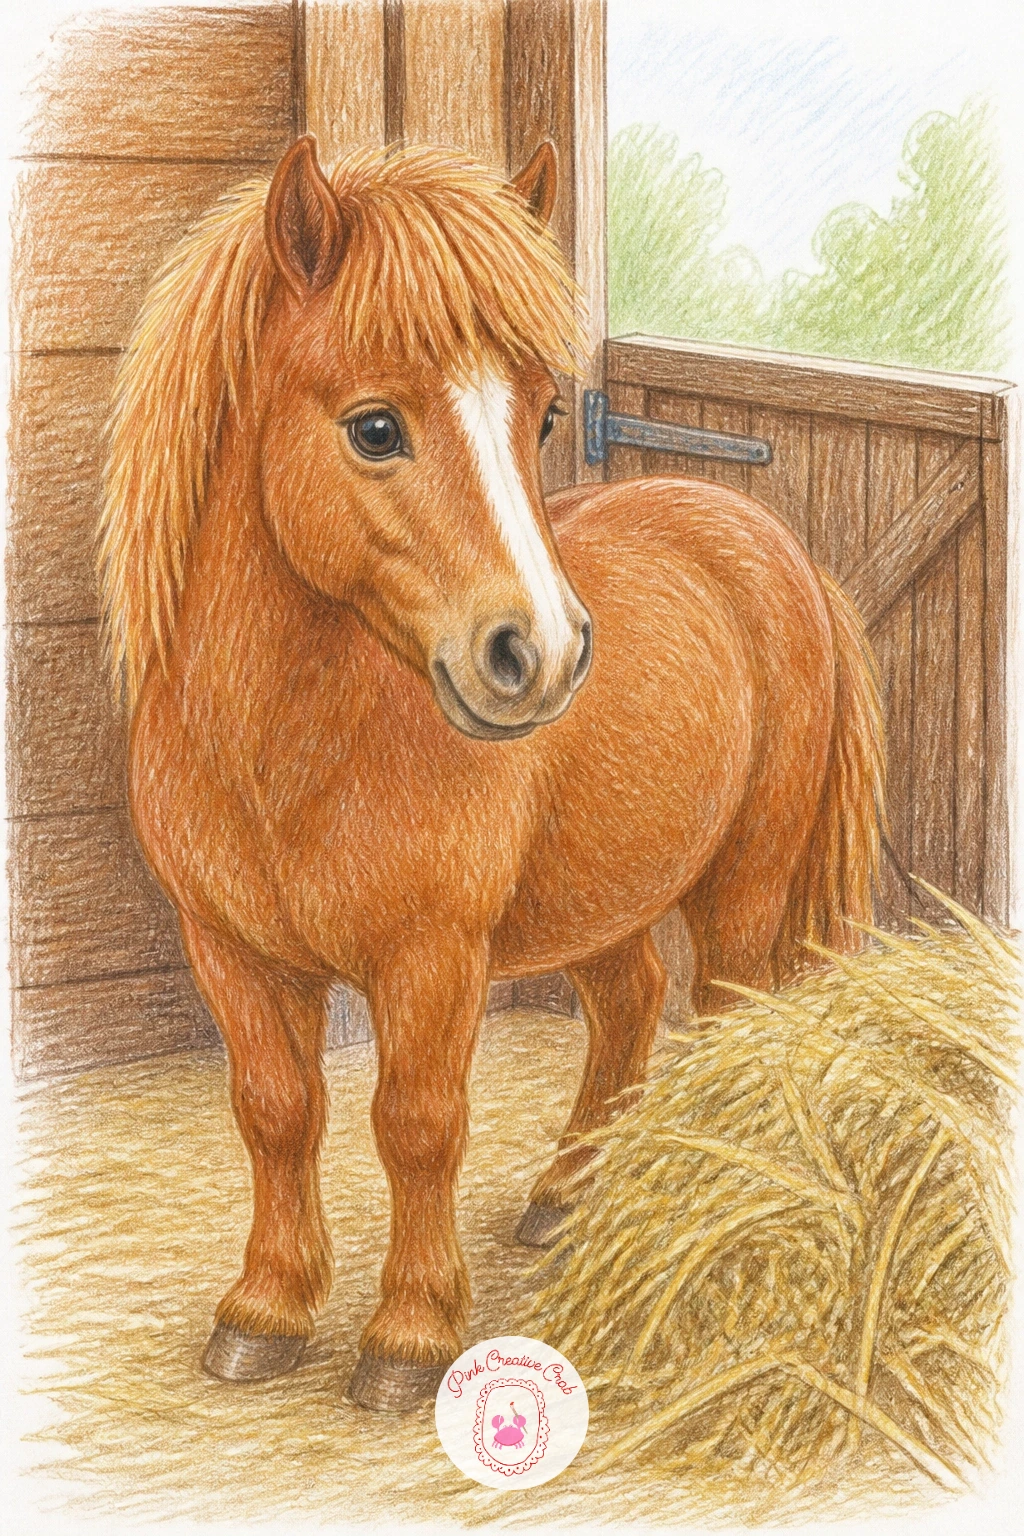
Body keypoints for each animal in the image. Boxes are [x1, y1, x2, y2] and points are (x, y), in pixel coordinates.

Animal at [98, 134, 885, 1413]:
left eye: (546, 412)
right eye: (374, 428)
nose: (543, 655)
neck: (283, 751)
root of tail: (768, 541)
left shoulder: (432, 960)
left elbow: (416, 1123)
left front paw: (408, 1336)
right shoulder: (231, 951)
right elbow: (275, 1112)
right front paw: (264, 1311)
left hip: (741, 885)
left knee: (726, 1013)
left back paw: (700, 1192)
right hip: (607, 893)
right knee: (631, 1006)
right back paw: (573, 1193)